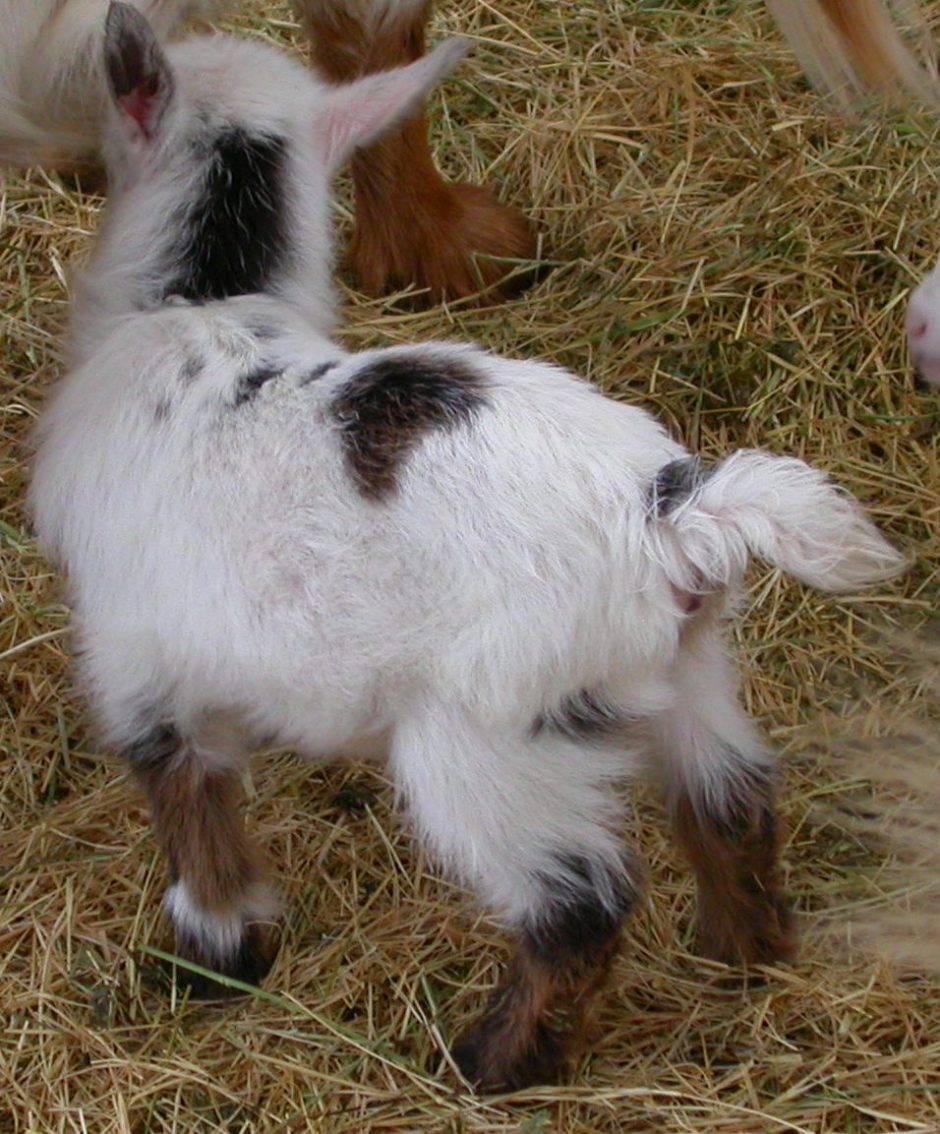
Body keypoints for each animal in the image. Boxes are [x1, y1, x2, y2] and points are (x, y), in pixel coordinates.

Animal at [29, 3, 906, 1091]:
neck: (205, 307)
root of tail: (668, 517)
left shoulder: (135, 656)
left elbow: (191, 801)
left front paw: (217, 950)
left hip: (487, 740)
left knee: (580, 906)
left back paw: (494, 1058)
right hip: (687, 676)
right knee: (733, 805)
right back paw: (741, 958)